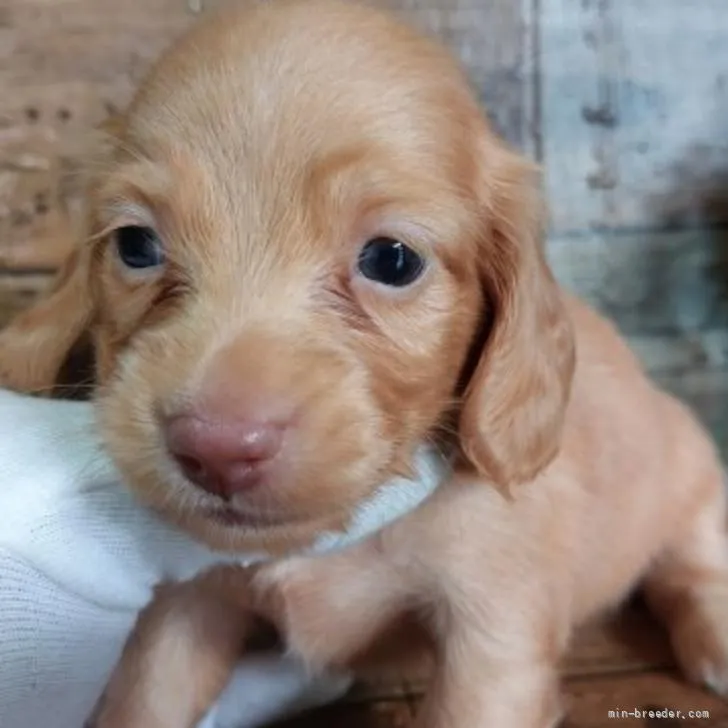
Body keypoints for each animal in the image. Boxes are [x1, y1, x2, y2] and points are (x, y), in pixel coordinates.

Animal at [1, 1, 728, 728]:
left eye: (392, 260)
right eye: (135, 244)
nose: (215, 449)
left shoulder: (492, 634)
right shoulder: (187, 602)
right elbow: (147, 697)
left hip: (691, 469)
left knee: (693, 558)